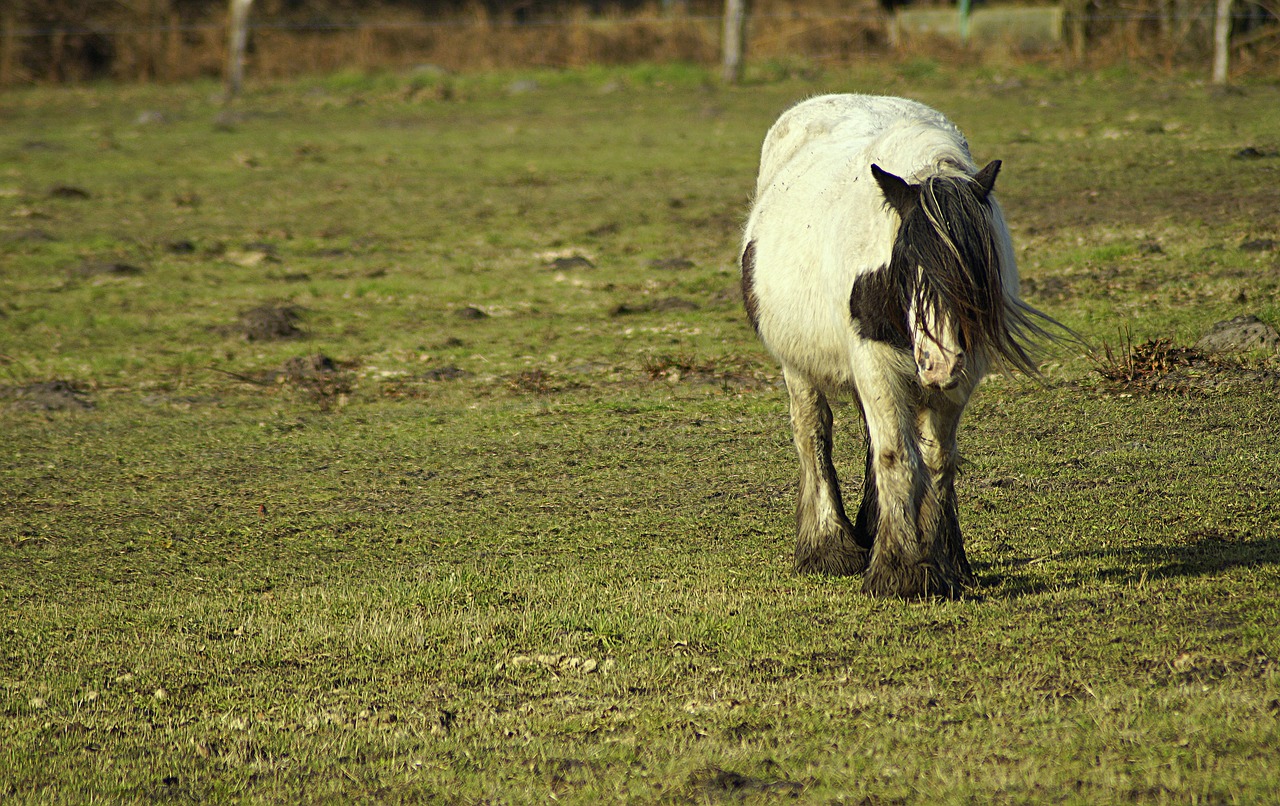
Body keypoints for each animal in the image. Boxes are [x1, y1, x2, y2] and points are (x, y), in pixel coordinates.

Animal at [747, 94, 1054, 601]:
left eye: (974, 272)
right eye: (906, 263)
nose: (939, 364)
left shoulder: (960, 378)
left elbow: (937, 461)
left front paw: (946, 564)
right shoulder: (874, 363)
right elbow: (897, 458)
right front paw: (901, 572)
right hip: (799, 364)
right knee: (813, 434)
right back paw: (828, 547)